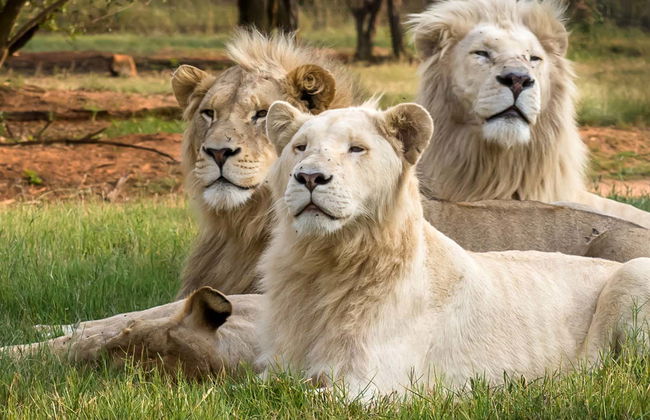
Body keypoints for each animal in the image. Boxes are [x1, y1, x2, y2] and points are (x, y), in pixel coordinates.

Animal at [256, 100, 650, 396]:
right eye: (300, 147)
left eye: (356, 149)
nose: (308, 177)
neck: (324, 262)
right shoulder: (276, 368)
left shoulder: (374, 387)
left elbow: (306, 399)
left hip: (634, 270)